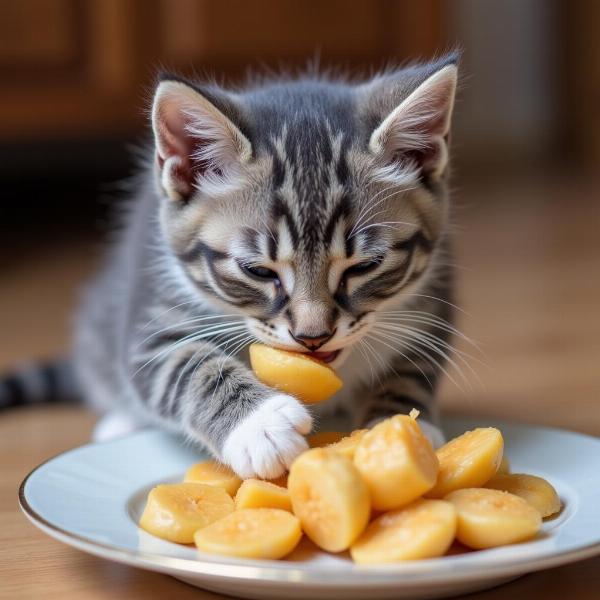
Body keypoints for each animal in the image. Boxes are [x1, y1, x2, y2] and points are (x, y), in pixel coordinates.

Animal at [2, 56, 460, 478]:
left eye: (366, 265)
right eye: (257, 271)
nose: (313, 337)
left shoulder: (433, 301)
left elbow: (415, 365)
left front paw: (402, 427)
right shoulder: (149, 317)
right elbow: (185, 366)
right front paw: (260, 426)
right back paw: (121, 421)